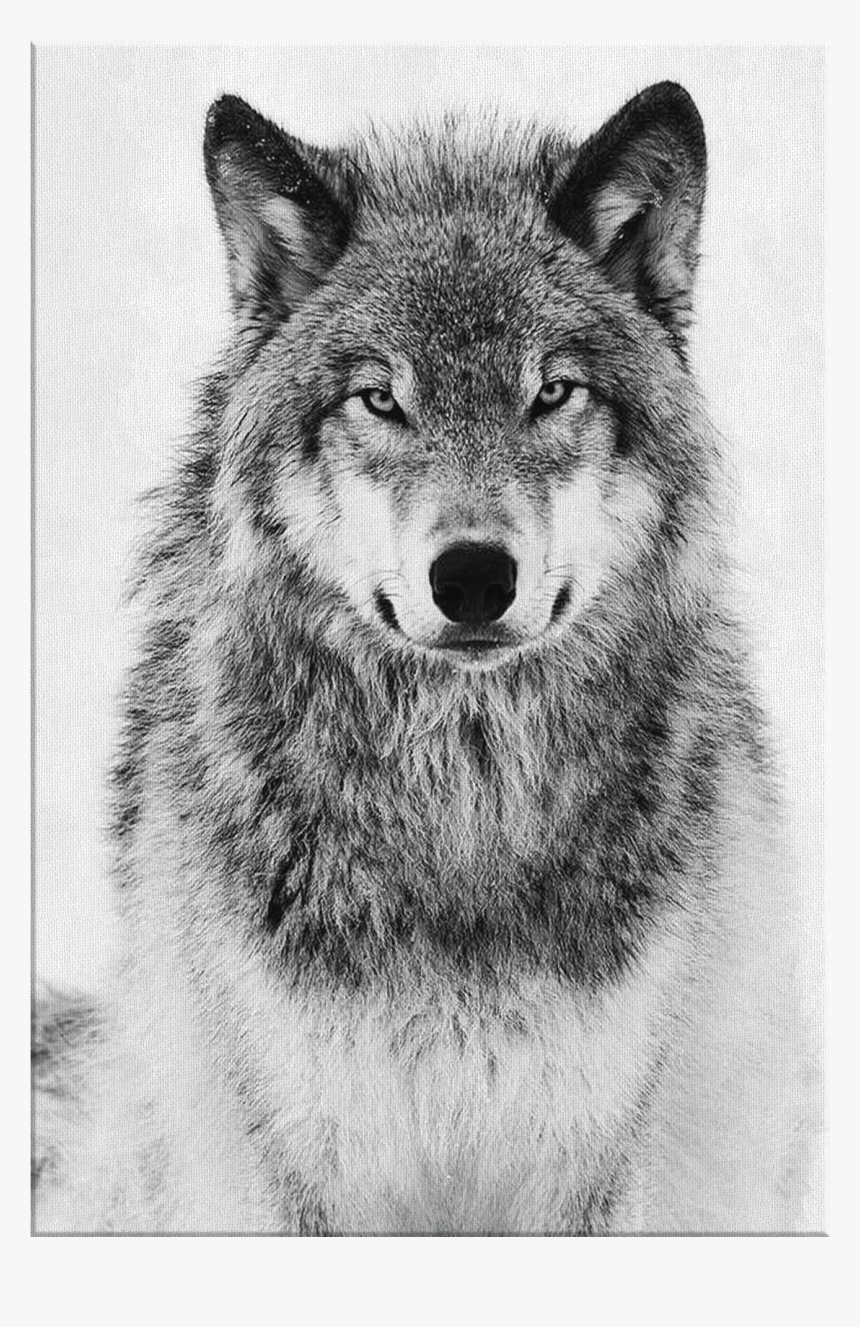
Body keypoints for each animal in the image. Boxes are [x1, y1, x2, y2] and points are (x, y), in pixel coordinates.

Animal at [34, 81, 821, 1234]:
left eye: (552, 392)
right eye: (380, 398)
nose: (474, 578)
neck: (461, 806)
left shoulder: (595, 1156)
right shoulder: (294, 1158)